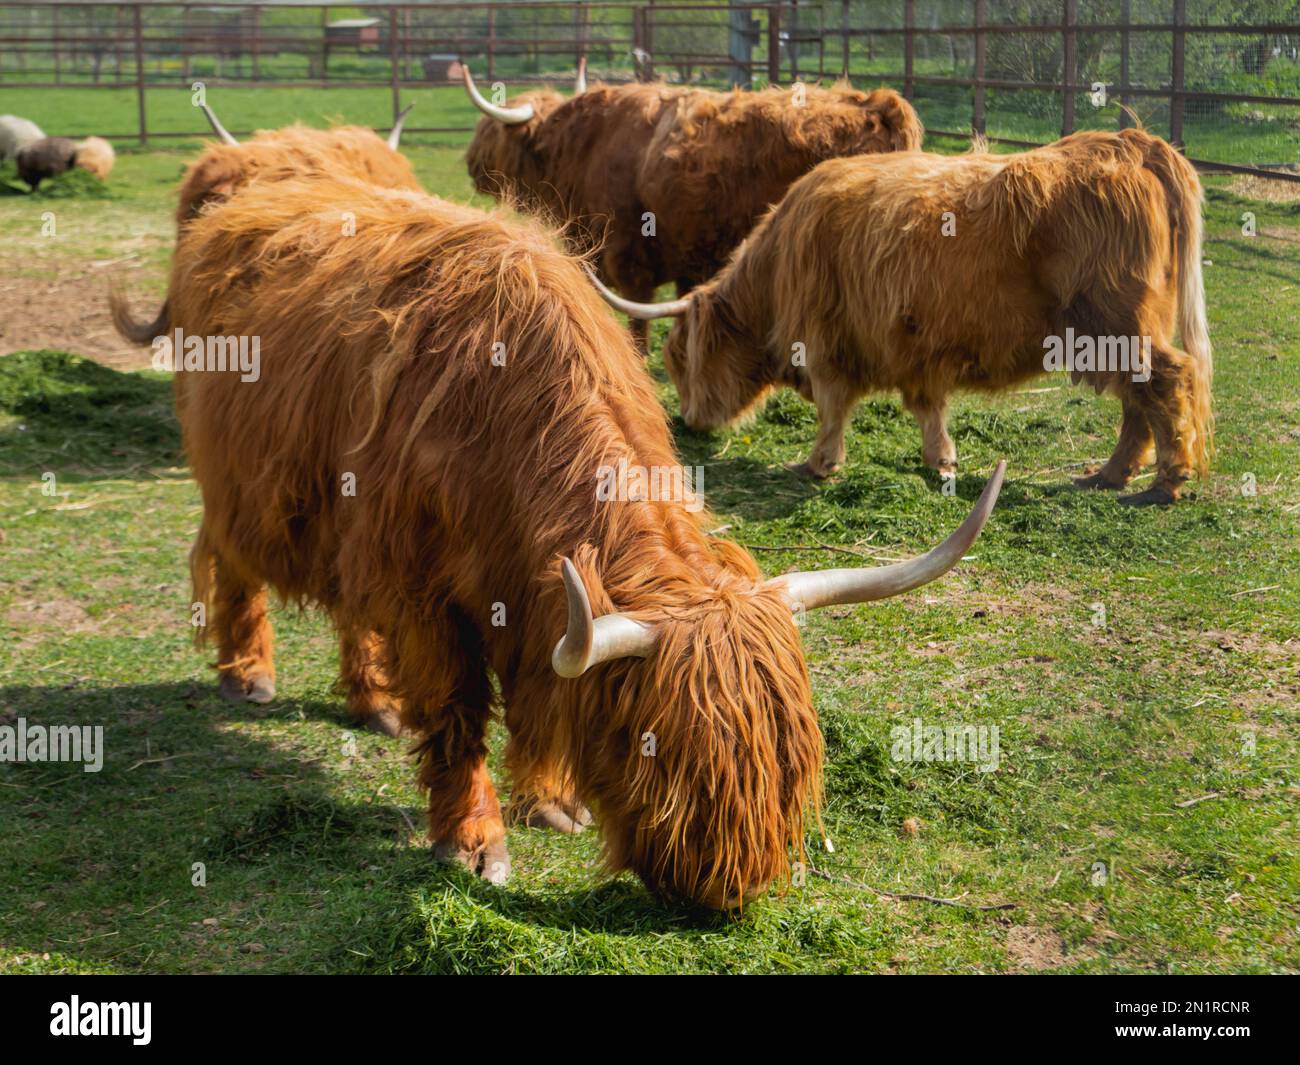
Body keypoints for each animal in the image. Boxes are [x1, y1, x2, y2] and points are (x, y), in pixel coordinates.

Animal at [114, 171, 1005, 907]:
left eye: (791, 759)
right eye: (661, 752)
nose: (732, 891)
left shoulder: (525, 598)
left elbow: (543, 690)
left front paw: (551, 800)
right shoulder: (425, 595)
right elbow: (458, 714)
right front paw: (473, 841)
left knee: (348, 605)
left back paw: (374, 703)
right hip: (234, 477)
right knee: (229, 560)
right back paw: (249, 673)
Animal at [461, 68, 921, 348]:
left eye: (491, 130)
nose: (470, 164)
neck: (583, 148)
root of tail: (881, 105)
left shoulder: (628, 255)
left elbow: (637, 321)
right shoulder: (686, 257)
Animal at [591, 129, 1212, 506]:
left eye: (677, 358)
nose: (687, 423)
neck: (777, 267)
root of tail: (1131, 143)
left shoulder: (826, 344)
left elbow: (833, 409)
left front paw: (816, 465)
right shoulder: (918, 349)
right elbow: (927, 408)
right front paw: (941, 461)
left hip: (1115, 323)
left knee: (1165, 383)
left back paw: (1165, 483)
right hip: (1121, 329)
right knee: (1139, 401)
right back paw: (1109, 475)